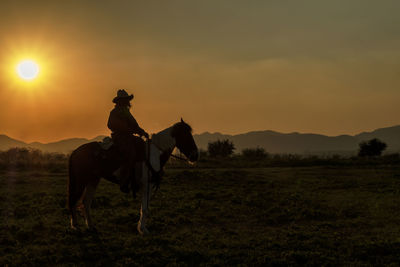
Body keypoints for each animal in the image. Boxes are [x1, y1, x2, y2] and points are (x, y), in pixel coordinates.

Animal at [67, 119, 198, 234]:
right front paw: (143, 230)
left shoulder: (149, 186)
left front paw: (141, 228)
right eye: (186, 135)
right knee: (74, 200)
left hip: (93, 180)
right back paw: (75, 226)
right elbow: (144, 208)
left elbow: (144, 207)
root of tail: (75, 152)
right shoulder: (147, 185)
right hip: (81, 181)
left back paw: (91, 226)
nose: (195, 155)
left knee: (86, 202)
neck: (155, 153)